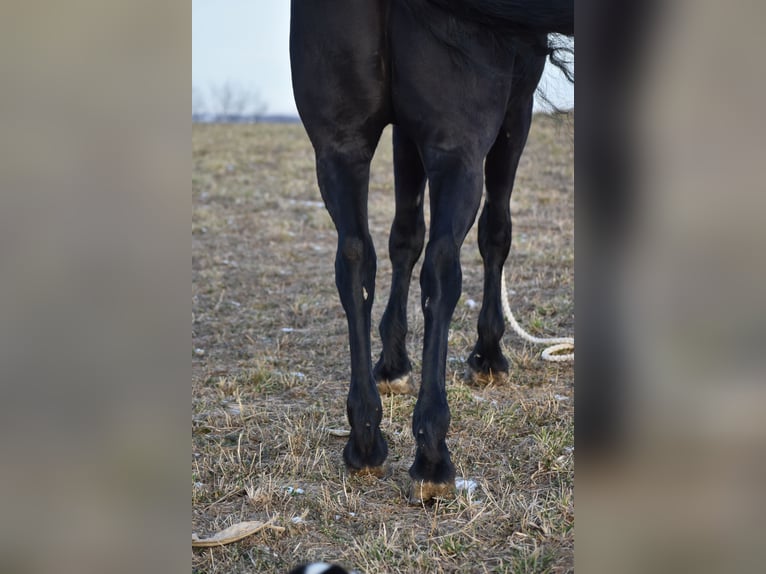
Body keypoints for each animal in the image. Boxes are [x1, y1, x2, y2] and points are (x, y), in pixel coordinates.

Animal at [292, 0, 572, 502]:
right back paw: (433, 456)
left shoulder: (403, 132)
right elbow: (495, 232)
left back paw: (365, 439)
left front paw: (393, 363)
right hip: (458, 151)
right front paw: (487, 356)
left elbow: (404, 236)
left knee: (355, 258)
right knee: (443, 267)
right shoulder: (516, 113)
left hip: (340, 148)